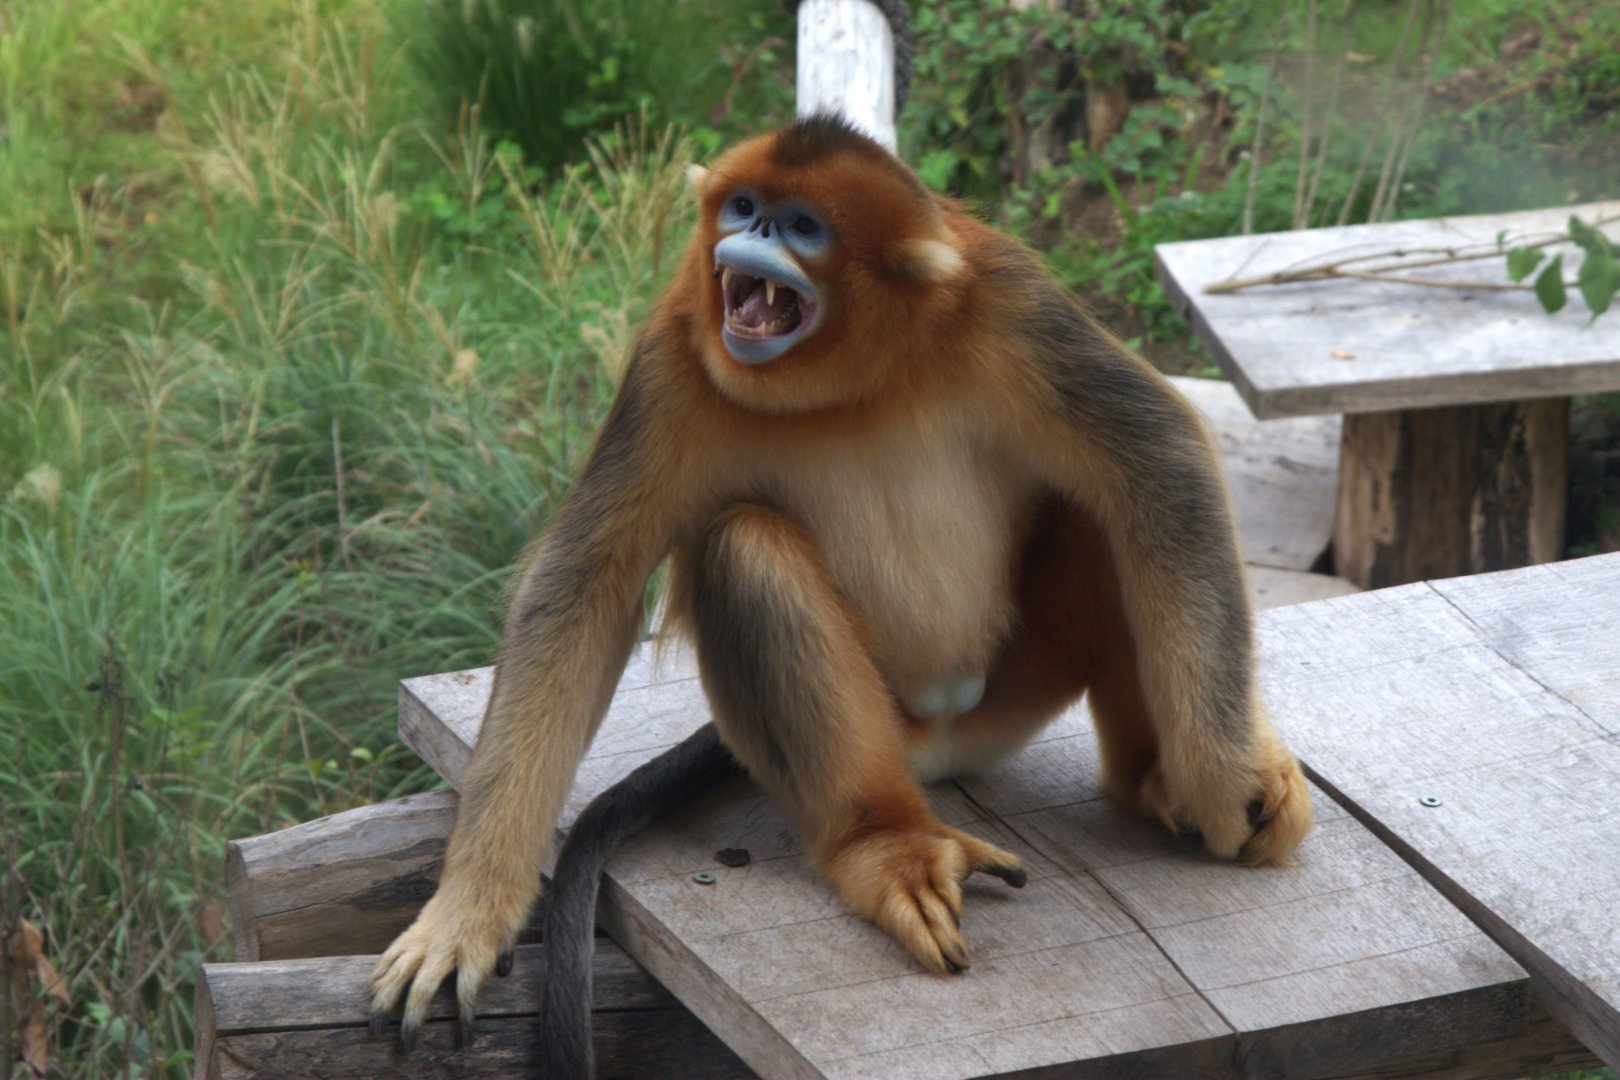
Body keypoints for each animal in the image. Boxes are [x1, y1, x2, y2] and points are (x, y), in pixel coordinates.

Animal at [367, 113, 1314, 1067]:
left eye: (800, 226)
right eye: (743, 207)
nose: (747, 234)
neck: (854, 379)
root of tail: (939, 740)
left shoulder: (1008, 303)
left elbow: (1157, 456)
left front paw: (1222, 784)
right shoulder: (673, 353)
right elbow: (581, 590)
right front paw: (465, 917)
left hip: (1017, 681)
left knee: (1101, 505)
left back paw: (1152, 777)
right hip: (893, 729)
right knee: (745, 547)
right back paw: (886, 847)